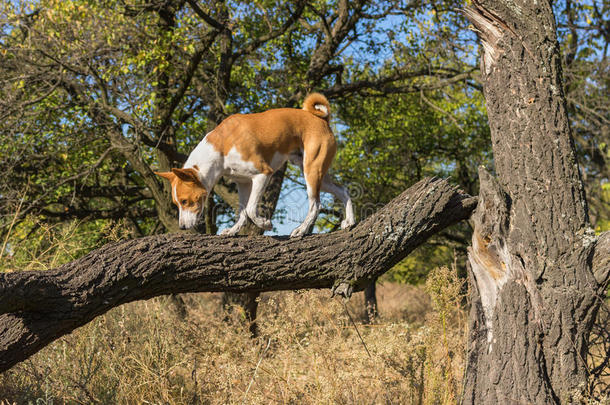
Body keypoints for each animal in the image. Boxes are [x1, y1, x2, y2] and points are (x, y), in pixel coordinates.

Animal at [154, 92, 354, 235]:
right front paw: (233, 230)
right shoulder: (242, 183)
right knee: (343, 190)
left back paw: (301, 230)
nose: (182, 227)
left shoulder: (263, 174)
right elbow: (242, 211)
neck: (222, 145)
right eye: (176, 203)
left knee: (315, 205)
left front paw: (264, 224)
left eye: (185, 201)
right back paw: (350, 221)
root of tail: (321, 119)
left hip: (311, 171)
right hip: (314, 170)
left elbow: (250, 209)